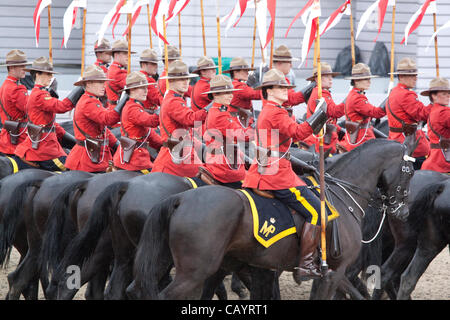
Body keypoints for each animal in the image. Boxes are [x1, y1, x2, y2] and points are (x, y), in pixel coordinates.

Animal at [128, 140, 414, 300]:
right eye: (410, 171)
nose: (403, 212)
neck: (343, 195)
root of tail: (180, 198)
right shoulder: (333, 273)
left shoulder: (335, 272)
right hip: (193, 272)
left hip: (167, 263)